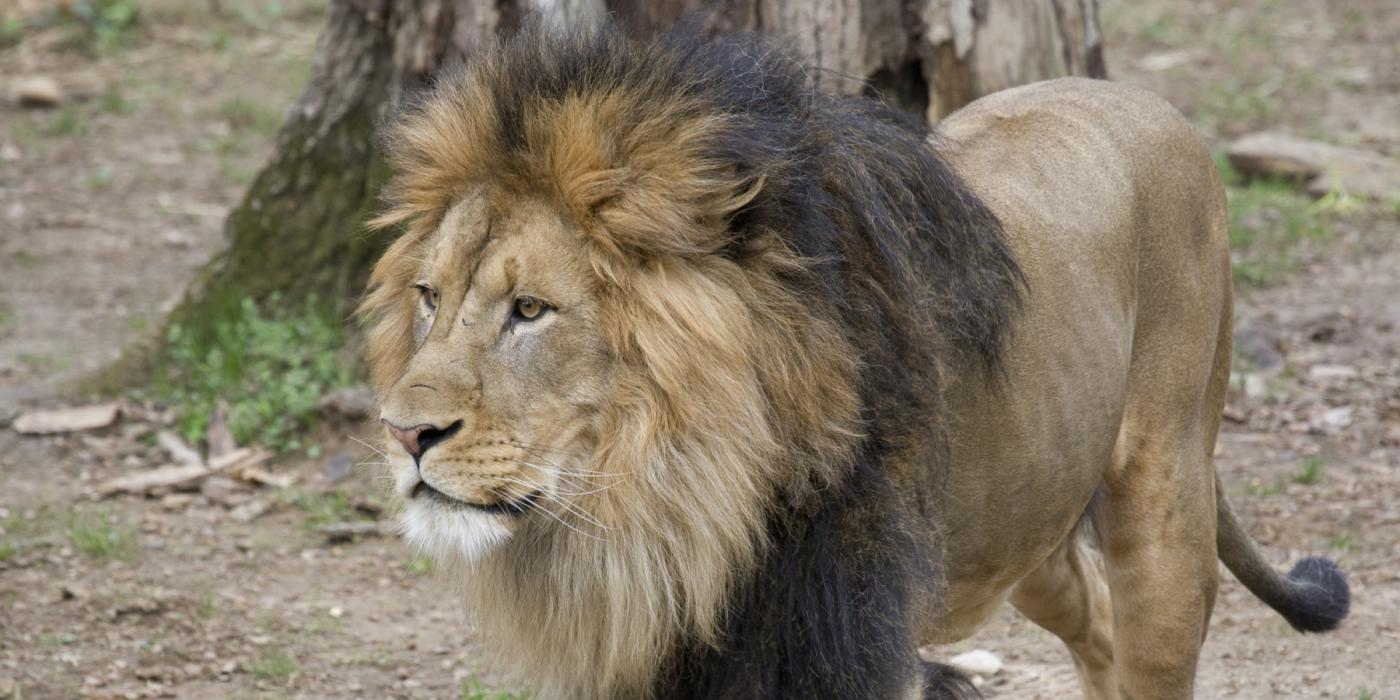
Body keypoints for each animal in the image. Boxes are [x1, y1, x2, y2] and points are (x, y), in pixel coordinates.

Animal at [358, 20, 1344, 700]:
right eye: (429, 298)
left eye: (530, 310)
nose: (403, 434)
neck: (672, 511)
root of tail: (1147, 104)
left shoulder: (839, 640)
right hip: (1024, 522)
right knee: (1092, 622)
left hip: (1164, 499)